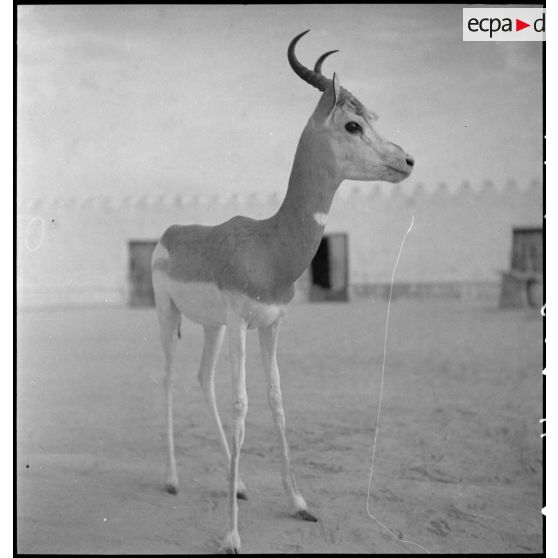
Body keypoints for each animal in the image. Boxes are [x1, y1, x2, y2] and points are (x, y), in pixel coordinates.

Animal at [153, 30, 416, 556]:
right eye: (352, 124)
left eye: (372, 118)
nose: (406, 160)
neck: (270, 244)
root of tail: (170, 233)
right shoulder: (241, 321)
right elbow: (242, 405)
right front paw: (232, 536)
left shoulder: (271, 324)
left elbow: (275, 399)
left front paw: (298, 503)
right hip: (168, 314)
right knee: (171, 380)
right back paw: (172, 480)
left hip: (211, 327)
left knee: (202, 378)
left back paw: (236, 484)